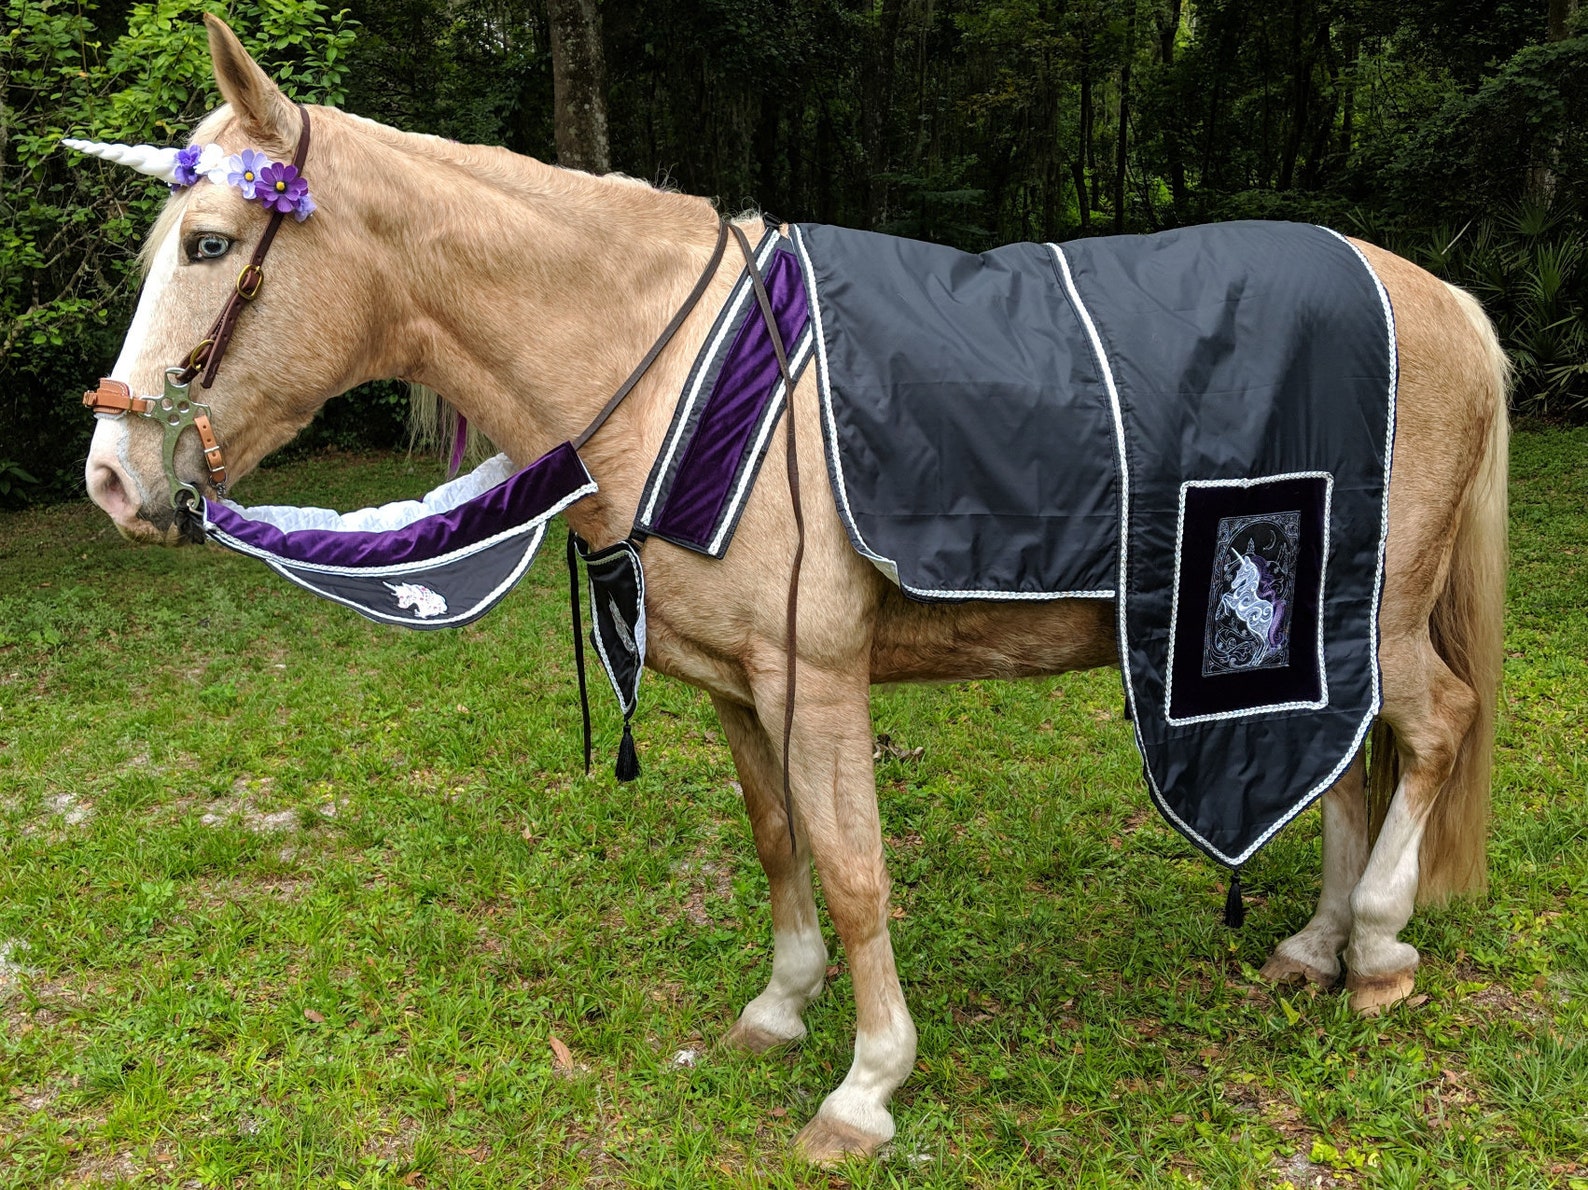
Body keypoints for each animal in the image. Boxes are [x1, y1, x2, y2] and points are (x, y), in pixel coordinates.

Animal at [79, 16, 1508, 1163]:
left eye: (210, 242)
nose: (108, 474)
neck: (672, 371)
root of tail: (1438, 294)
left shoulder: (815, 679)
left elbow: (856, 866)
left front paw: (868, 1083)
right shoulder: (731, 685)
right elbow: (779, 844)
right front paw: (777, 1007)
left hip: (1368, 610)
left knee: (1433, 727)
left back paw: (1377, 947)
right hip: (1327, 627)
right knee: (1352, 759)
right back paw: (1312, 946)